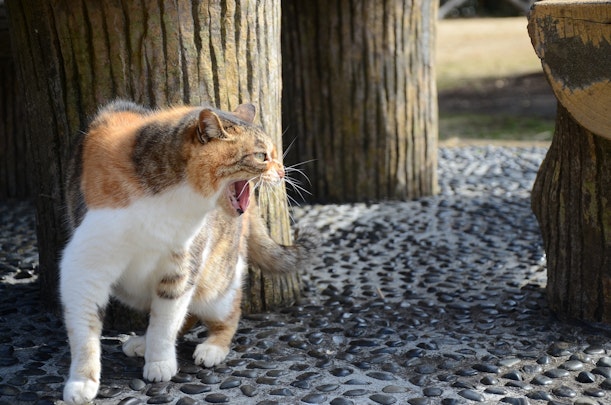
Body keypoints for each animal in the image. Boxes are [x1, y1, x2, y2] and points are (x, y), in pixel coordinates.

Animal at [61, 99, 316, 402]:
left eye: (274, 155)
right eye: (261, 156)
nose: (282, 172)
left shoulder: (181, 266)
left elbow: (166, 321)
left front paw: (160, 363)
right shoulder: (85, 267)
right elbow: (85, 330)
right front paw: (81, 382)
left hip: (217, 281)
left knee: (225, 313)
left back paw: (211, 347)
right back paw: (143, 342)